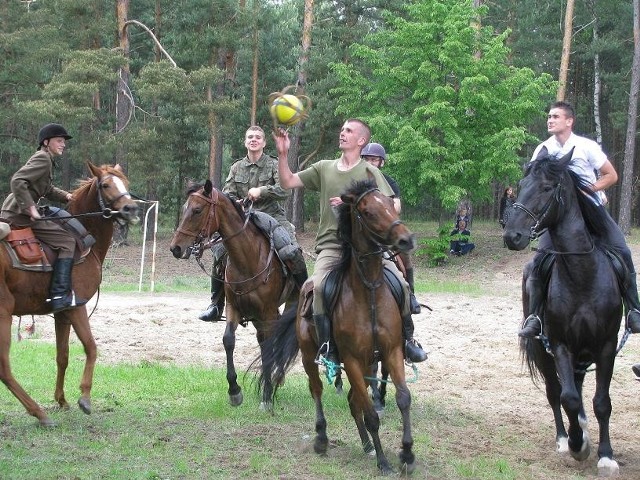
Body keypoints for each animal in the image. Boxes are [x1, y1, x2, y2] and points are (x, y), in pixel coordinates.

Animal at [0, 163, 141, 426]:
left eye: (126, 182)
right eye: (105, 185)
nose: (131, 208)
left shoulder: (62, 312)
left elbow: (62, 356)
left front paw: (61, 400)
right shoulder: (77, 306)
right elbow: (91, 347)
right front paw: (84, 397)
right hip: (4, 313)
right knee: (4, 367)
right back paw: (39, 414)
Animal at [170, 179, 300, 408]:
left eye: (197, 210)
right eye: (185, 208)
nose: (176, 248)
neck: (247, 259)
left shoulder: (267, 312)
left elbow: (268, 344)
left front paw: (267, 395)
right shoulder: (234, 307)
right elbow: (228, 340)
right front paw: (234, 391)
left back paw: (277, 377)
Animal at [260, 178, 420, 474]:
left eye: (390, 203)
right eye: (367, 211)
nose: (406, 239)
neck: (369, 290)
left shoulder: (391, 352)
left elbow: (403, 399)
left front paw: (407, 454)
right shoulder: (352, 360)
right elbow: (371, 415)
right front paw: (384, 462)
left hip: (369, 363)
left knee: (353, 401)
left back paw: (367, 445)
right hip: (311, 357)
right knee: (318, 391)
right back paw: (322, 439)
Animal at [502, 149, 624, 476]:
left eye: (546, 188)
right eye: (521, 185)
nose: (512, 236)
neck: (582, 275)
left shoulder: (606, 346)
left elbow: (601, 402)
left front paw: (606, 456)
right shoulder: (560, 345)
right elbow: (567, 397)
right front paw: (577, 445)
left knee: (579, 390)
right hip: (547, 352)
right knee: (556, 391)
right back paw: (564, 437)